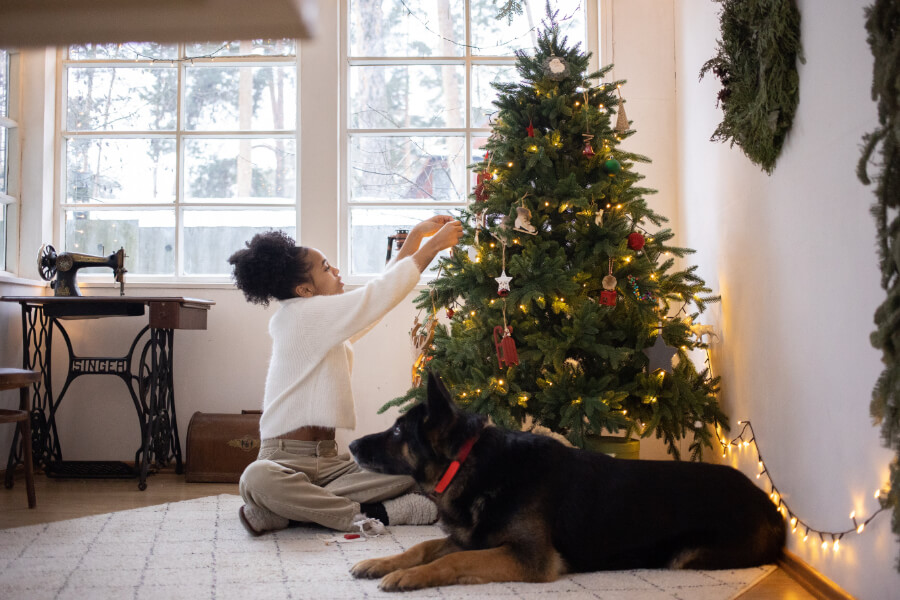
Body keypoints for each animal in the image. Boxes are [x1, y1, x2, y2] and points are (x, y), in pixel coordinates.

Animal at [348, 372, 784, 592]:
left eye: (398, 432)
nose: (350, 444)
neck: (472, 463)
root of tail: (771, 504)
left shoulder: (528, 557)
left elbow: (453, 560)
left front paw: (409, 577)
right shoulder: (472, 538)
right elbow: (421, 547)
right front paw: (381, 562)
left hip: (686, 555)